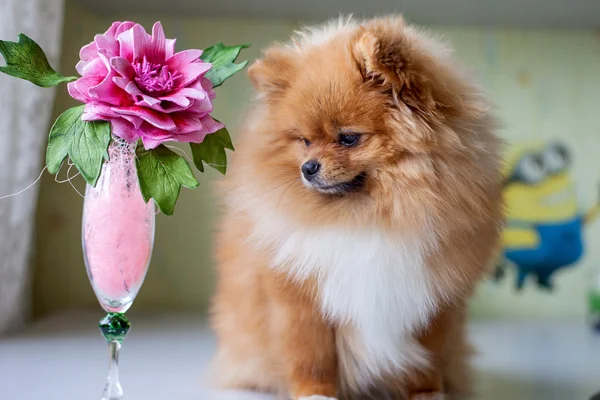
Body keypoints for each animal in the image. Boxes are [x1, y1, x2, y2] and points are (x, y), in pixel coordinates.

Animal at [210, 14, 502, 400]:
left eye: (348, 138)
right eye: (304, 141)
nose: (308, 167)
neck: (366, 216)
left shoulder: (433, 298)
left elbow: (425, 357)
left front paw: (426, 392)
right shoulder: (300, 298)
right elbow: (311, 355)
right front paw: (315, 393)